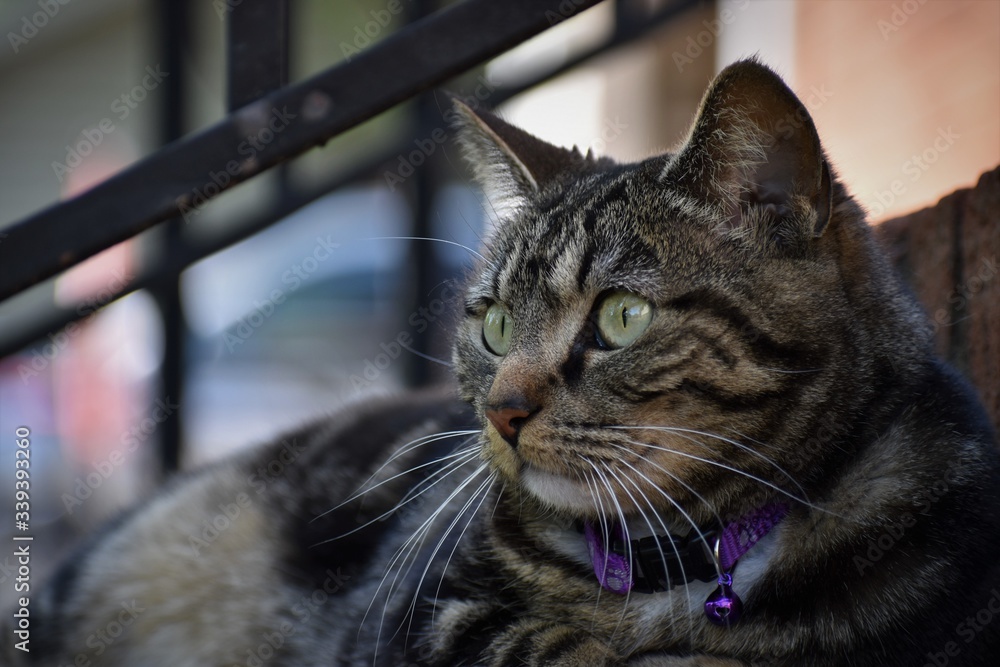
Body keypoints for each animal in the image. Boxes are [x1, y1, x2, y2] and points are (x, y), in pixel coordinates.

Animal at [13, 58, 1000, 667]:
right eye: (491, 325)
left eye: (622, 316)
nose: (503, 410)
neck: (681, 569)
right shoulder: (415, 616)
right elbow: (539, 642)